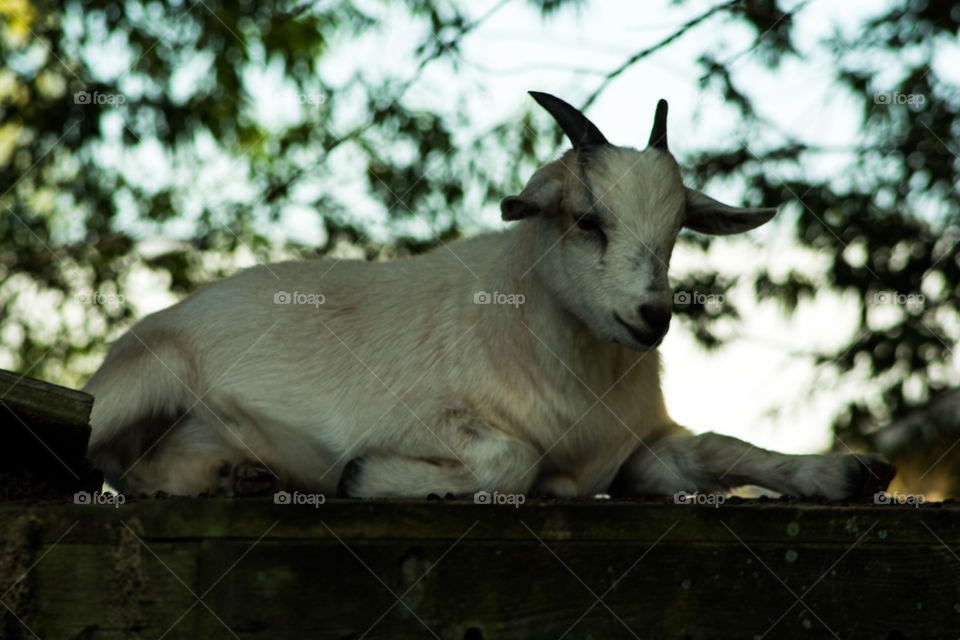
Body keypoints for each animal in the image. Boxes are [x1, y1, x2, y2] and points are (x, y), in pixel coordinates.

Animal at [84, 91, 895, 500]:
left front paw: (847, 472)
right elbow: (512, 463)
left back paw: (237, 473)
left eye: (676, 232)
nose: (651, 316)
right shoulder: (432, 419)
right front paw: (363, 476)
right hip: (138, 382)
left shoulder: (637, 453)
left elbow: (716, 451)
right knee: (100, 459)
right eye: (587, 220)